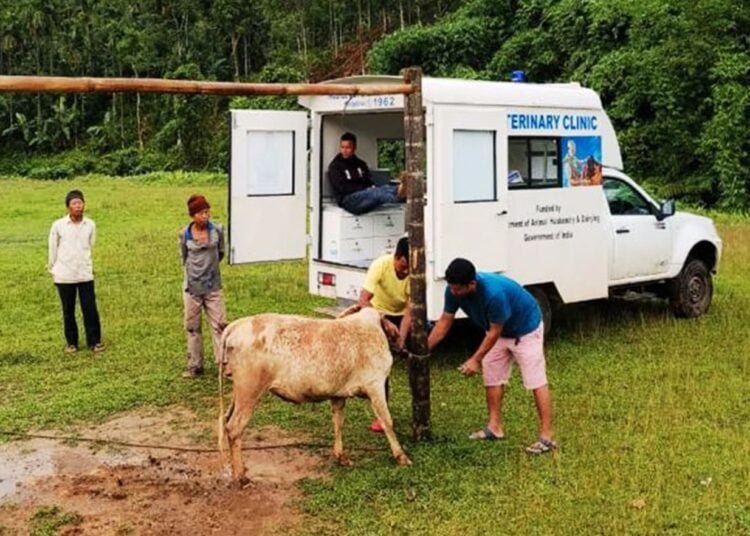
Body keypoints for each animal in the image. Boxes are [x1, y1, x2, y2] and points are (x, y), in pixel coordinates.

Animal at [218, 307, 411, 483]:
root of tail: (237, 324)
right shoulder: (375, 386)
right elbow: (387, 421)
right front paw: (402, 457)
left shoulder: (338, 395)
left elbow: (338, 423)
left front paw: (341, 456)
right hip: (249, 391)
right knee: (234, 427)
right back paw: (241, 477)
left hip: (239, 392)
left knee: (226, 421)